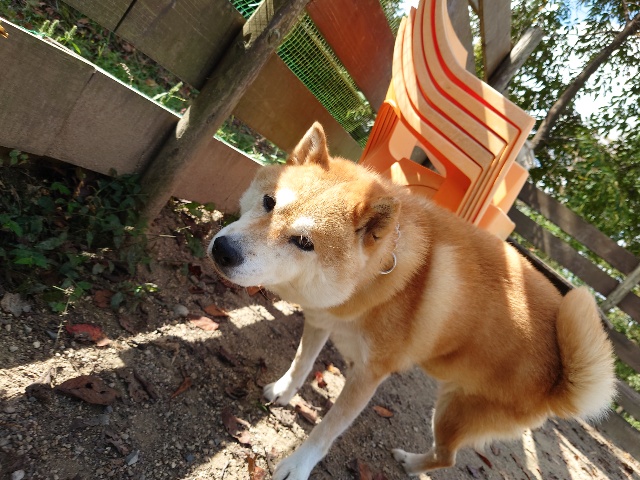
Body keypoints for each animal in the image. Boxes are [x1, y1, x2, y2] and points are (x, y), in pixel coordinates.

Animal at [208, 122, 616, 479]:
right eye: (269, 201)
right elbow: (301, 365)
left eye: (304, 242)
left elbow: (326, 430)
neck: (370, 286)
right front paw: (284, 390)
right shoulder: (321, 320)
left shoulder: (368, 378)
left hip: (453, 412)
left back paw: (410, 463)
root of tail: (560, 377)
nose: (223, 251)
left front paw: (298, 465)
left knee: (447, 457)